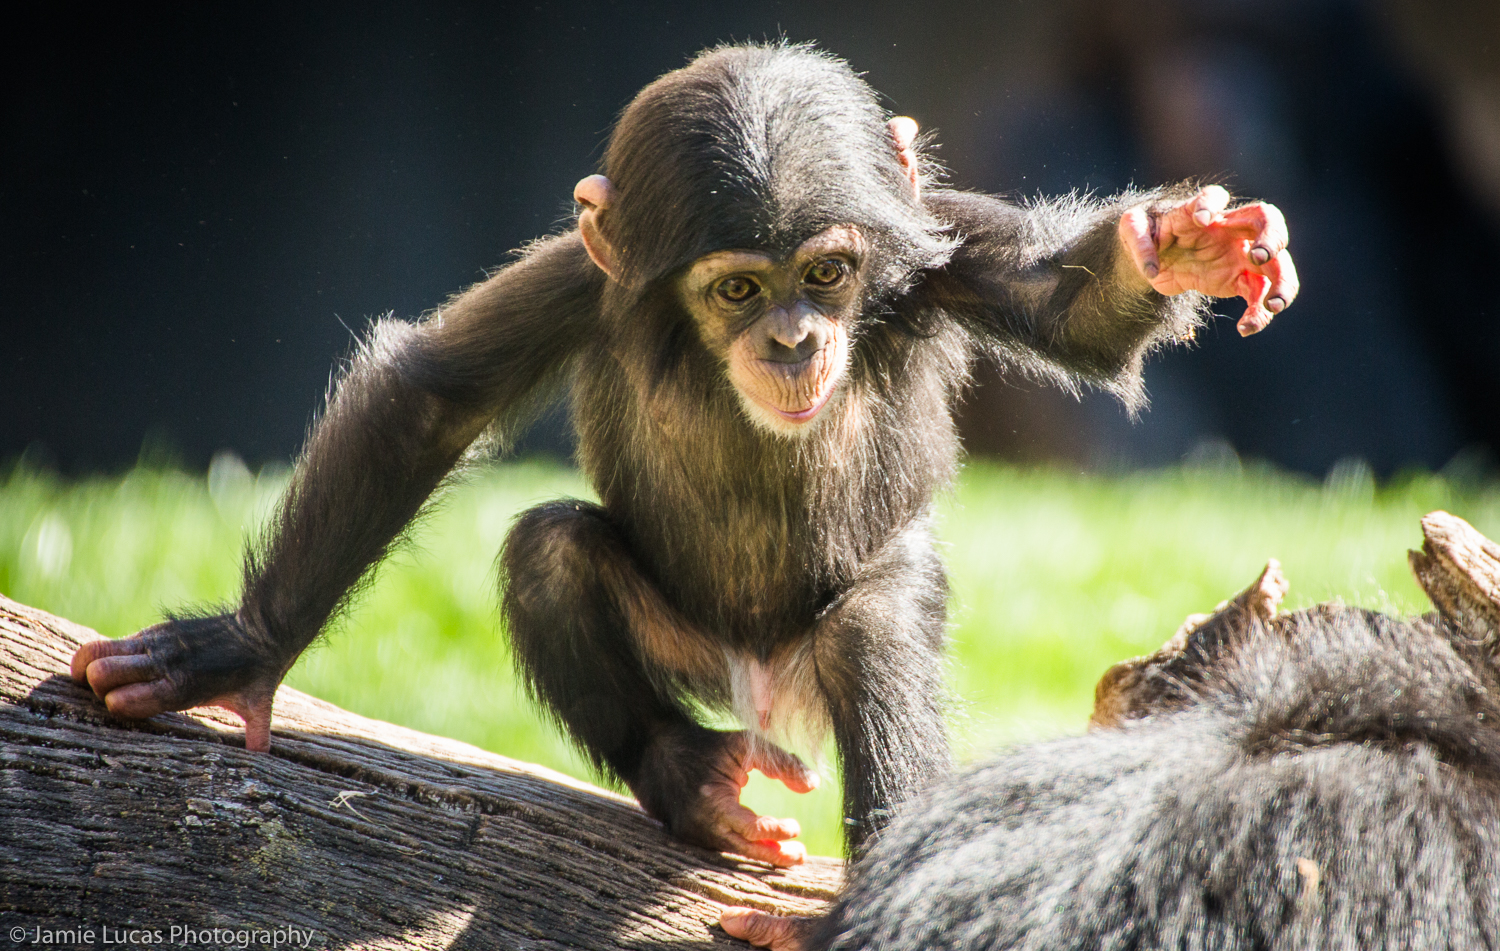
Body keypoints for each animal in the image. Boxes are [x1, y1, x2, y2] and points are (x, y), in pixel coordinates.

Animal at [69, 43, 1298, 866]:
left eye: (829, 273)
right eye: (740, 289)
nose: (793, 339)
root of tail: (756, 683)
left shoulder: (940, 242)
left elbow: (1070, 308)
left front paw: (1176, 247)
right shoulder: (583, 278)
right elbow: (429, 400)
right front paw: (236, 652)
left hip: (823, 640)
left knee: (870, 634)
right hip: (689, 653)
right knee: (552, 554)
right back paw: (693, 780)